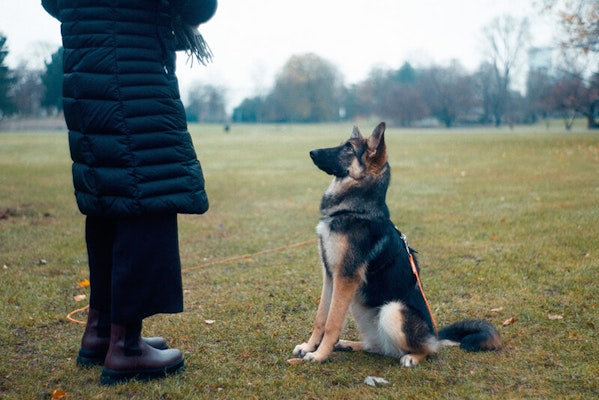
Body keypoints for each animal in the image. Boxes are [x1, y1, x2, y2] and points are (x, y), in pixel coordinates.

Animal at [292, 123, 504, 368]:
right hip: (360, 307)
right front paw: (309, 347)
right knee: (377, 346)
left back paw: (412, 356)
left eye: (348, 148)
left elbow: (332, 323)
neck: (355, 209)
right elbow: (321, 318)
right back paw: (348, 344)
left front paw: (319, 355)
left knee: (427, 350)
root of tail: (435, 335)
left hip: (392, 310)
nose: (311, 152)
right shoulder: (330, 276)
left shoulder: (345, 278)